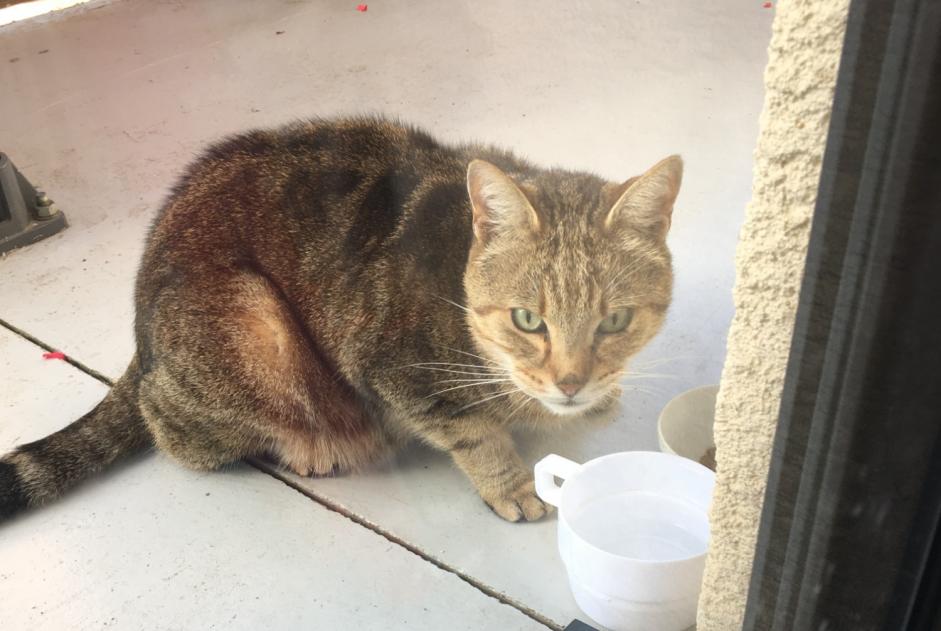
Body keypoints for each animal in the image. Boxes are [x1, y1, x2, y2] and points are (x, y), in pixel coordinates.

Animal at [0, 118, 684, 524]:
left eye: (615, 321)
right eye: (527, 319)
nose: (571, 382)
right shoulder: (395, 371)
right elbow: (475, 432)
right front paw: (512, 485)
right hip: (257, 326)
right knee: (171, 425)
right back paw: (306, 449)